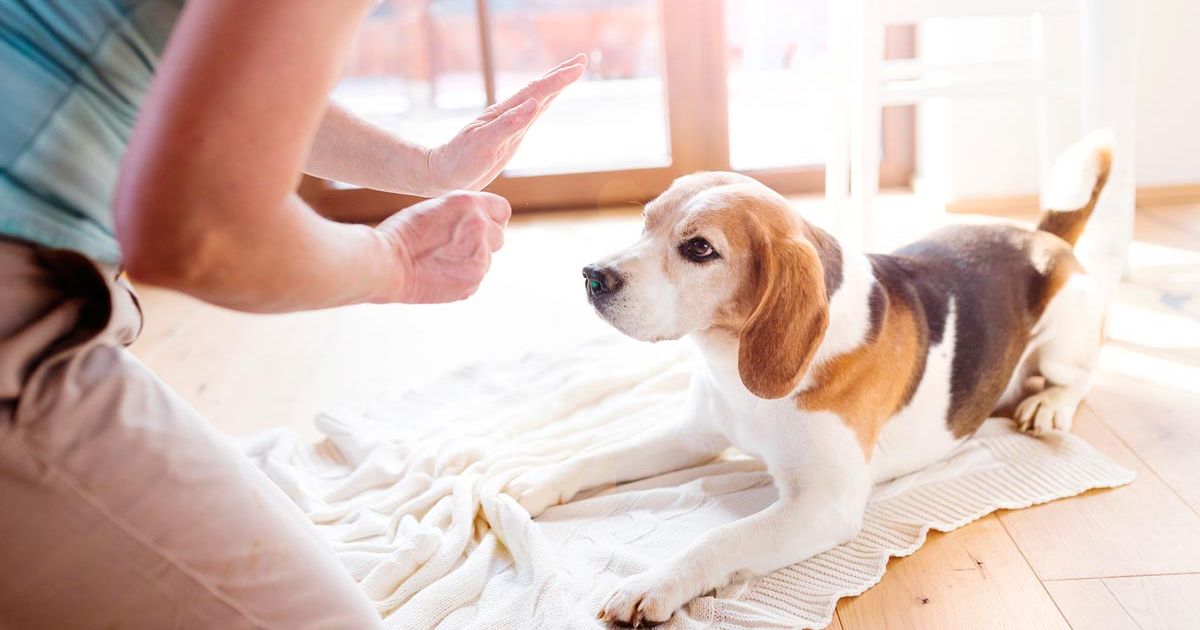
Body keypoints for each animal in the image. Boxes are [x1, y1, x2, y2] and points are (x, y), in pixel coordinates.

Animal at [506, 131, 1113, 624]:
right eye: (645, 222)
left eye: (699, 248)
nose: (592, 276)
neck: (733, 365)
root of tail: (1043, 237)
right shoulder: (694, 435)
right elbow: (598, 456)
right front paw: (536, 482)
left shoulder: (824, 503)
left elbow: (718, 539)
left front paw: (654, 583)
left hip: (1064, 338)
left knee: (1078, 377)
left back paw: (1049, 404)